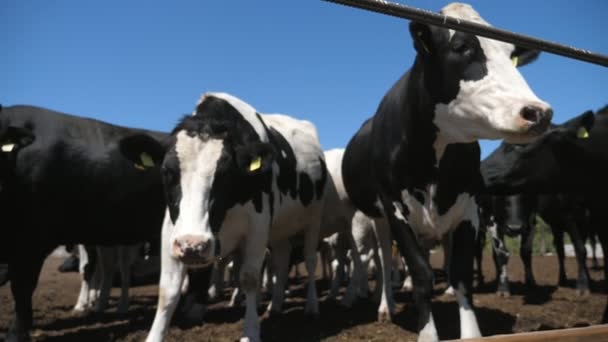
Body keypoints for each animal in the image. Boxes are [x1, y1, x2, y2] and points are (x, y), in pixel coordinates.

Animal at [127, 91, 328, 342]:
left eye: (225, 174)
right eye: (167, 171)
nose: (193, 246)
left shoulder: (258, 226)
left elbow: (250, 278)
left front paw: (250, 332)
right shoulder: (172, 231)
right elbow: (168, 289)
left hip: (314, 219)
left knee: (309, 260)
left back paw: (311, 306)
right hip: (280, 231)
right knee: (282, 262)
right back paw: (275, 307)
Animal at [340, 3, 552, 342]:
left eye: (511, 54)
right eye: (461, 47)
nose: (538, 112)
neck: (434, 164)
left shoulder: (469, 208)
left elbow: (461, 274)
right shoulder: (394, 209)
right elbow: (421, 275)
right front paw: (427, 332)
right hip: (375, 217)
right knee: (384, 259)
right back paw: (385, 305)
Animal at [482, 106, 604, 324]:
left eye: (528, 194)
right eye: (500, 196)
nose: (514, 227)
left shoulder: (534, 220)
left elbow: (527, 252)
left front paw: (532, 282)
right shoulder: (492, 221)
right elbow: (502, 254)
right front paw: (503, 289)